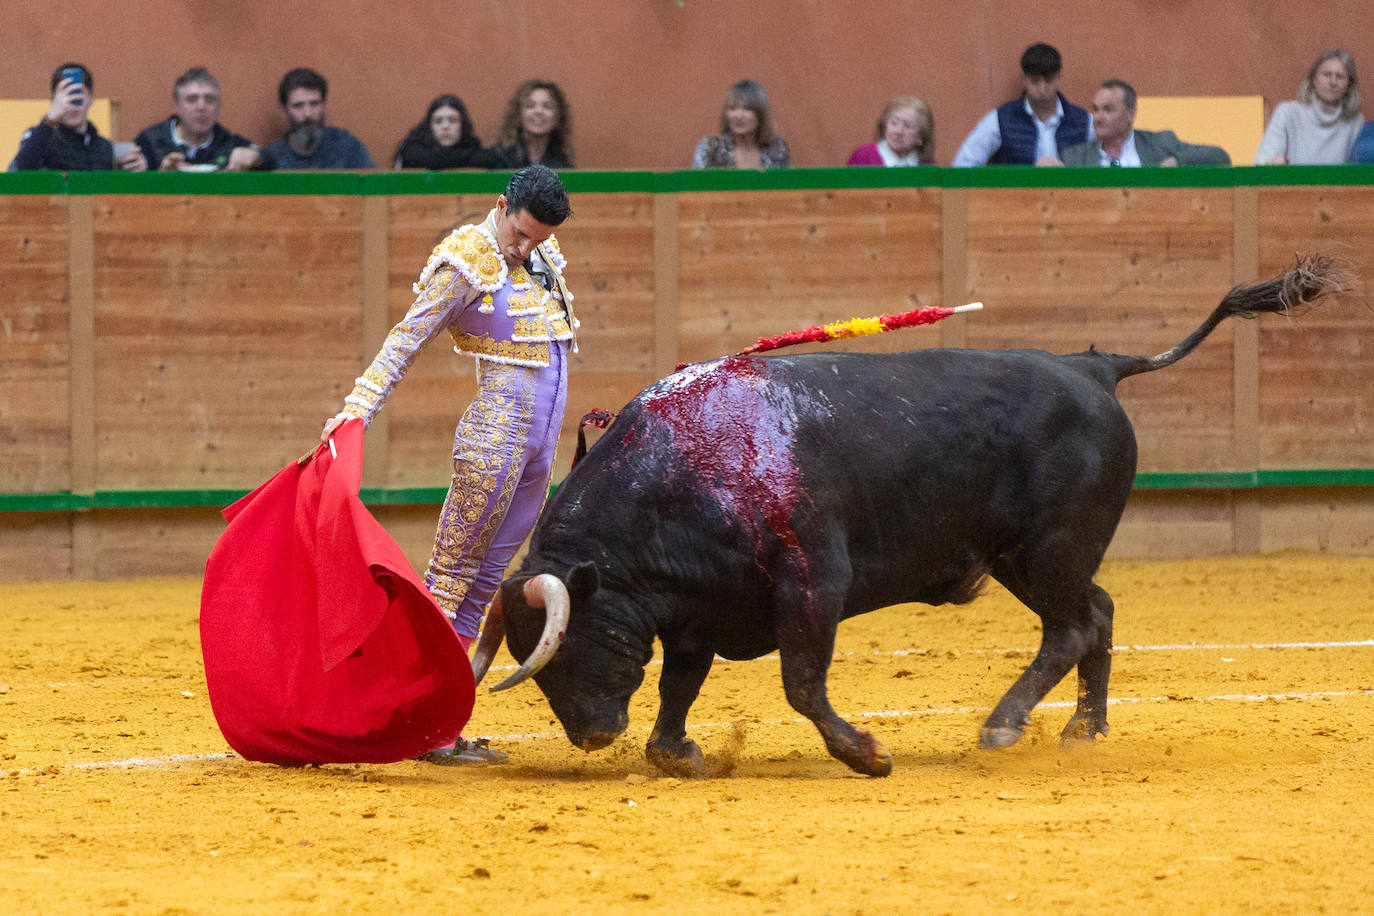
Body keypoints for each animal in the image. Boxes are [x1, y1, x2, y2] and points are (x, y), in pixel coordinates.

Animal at [472, 256, 1341, 774]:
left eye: (567, 644)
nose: (591, 734)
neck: (683, 471)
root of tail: (1093, 367)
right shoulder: (695, 609)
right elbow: (682, 683)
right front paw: (676, 751)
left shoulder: (812, 581)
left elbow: (801, 683)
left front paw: (866, 753)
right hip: (1028, 556)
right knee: (1096, 613)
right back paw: (1081, 730)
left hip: (1053, 547)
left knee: (1071, 626)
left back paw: (1003, 726)